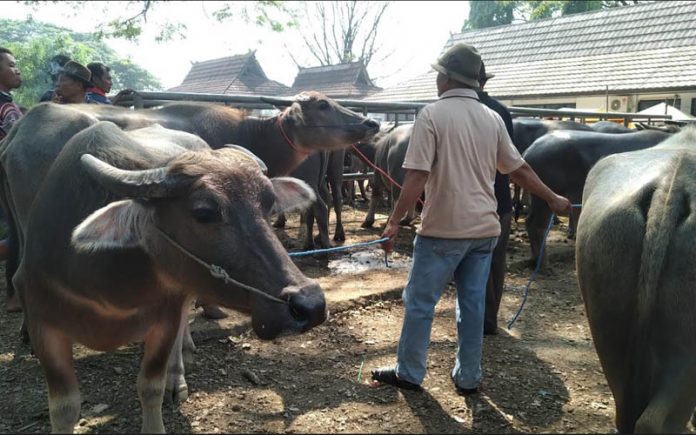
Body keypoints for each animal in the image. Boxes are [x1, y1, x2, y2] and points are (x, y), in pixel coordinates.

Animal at [4, 112, 324, 432]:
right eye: (204, 213)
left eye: (269, 205)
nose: (310, 304)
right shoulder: (42, 325)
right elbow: (64, 407)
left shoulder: (165, 317)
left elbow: (151, 385)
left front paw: (167, 384)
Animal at [520, 129, 668, 266]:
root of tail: (528, 151)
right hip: (545, 199)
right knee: (537, 226)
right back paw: (545, 265)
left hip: (538, 198)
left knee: (529, 221)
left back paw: (534, 260)